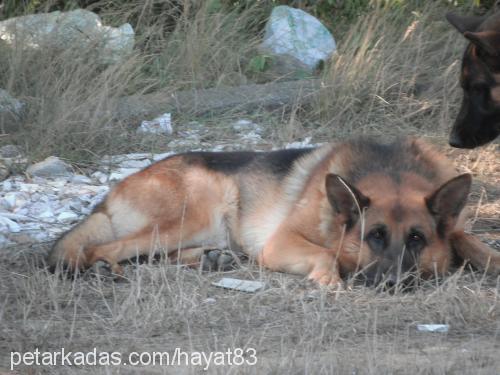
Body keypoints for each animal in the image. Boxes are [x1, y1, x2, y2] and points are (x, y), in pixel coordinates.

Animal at [48, 138, 500, 288]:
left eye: (417, 239)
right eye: (375, 236)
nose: (393, 284)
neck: (390, 168)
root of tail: (115, 189)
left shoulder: (453, 231)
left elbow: (467, 239)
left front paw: (490, 259)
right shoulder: (279, 242)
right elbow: (326, 252)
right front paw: (328, 278)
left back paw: (210, 259)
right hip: (194, 213)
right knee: (102, 249)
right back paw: (104, 267)